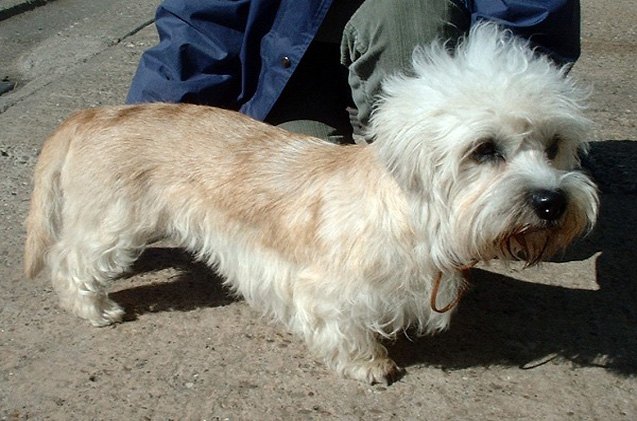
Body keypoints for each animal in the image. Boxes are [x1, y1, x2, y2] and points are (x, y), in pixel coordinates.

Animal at [24, 23, 600, 384]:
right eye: (484, 149)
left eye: (554, 145)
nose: (551, 201)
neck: (413, 219)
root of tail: (93, 114)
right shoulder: (325, 293)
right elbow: (347, 334)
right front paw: (372, 366)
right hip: (111, 227)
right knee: (68, 260)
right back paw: (96, 309)